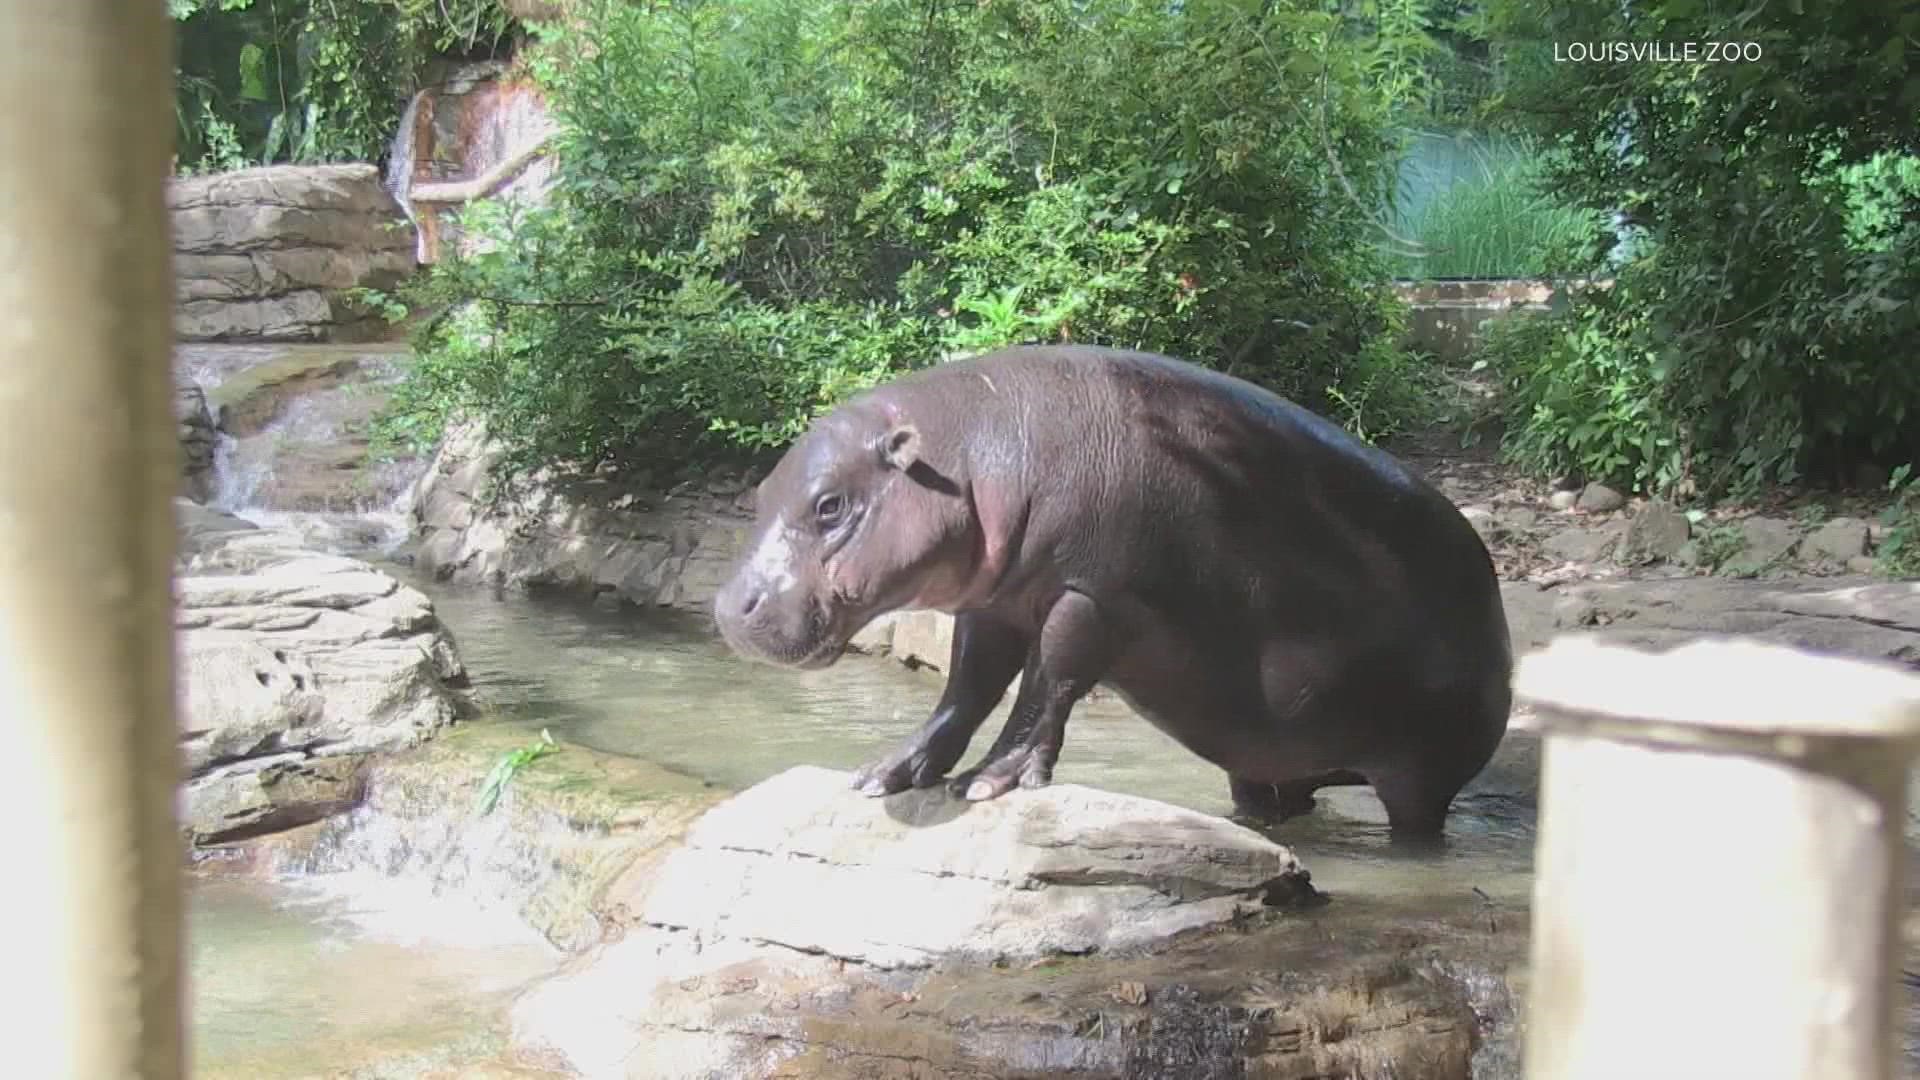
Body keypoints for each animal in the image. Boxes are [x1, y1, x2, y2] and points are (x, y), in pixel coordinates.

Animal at [710, 343, 1512, 834]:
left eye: (830, 505)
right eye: (763, 491)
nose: (724, 606)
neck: (973, 453)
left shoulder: (1090, 599)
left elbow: (1047, 687)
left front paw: (989, 783)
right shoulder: (995, 604)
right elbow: (965, 690)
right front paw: (883, 774)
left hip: (1424, 774)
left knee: (1418, 824)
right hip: (1271, 760)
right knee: (1274, 796)